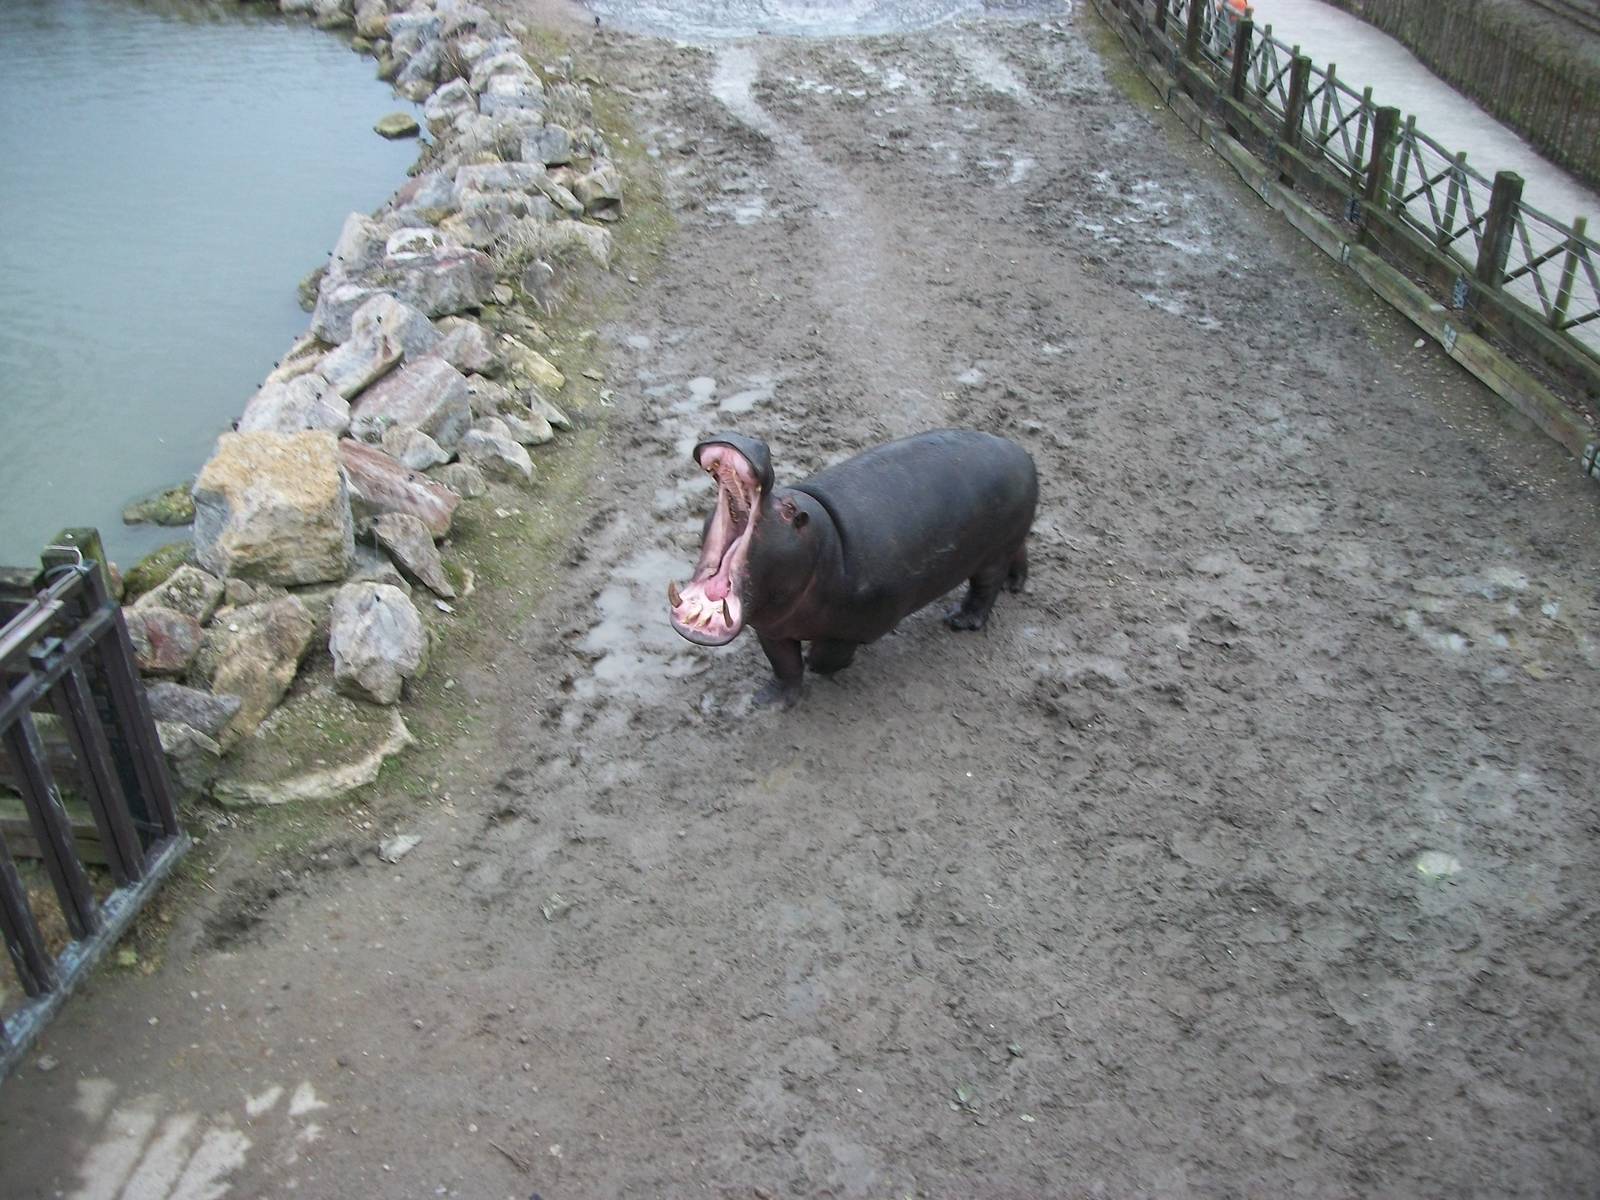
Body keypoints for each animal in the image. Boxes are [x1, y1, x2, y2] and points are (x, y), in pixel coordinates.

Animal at [667, 429, 1038, 707]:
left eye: (789, 510)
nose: (751, 442)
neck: (822, 541)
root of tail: (1021, 451)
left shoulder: (859, 626)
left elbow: (824, 656)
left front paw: (819, 664)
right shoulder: (770, 626)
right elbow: (784, 665)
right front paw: (771, 700)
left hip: (991, 554)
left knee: (984, 589)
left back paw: (961, 621)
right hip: (1010, 541)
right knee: (1018, 555)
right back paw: (1016, 585)